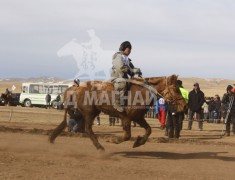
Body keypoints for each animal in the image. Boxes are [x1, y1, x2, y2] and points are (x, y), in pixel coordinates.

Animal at [49, 74, 187, 150]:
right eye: (176, 89)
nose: (185, 106)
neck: (141, 92)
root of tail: (76, 88)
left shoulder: (138, 117)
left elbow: (148, 130)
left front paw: (138, 142)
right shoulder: (126, 118)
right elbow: (127, 136)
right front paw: (113, 139)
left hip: (92, 113)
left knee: (87, 129)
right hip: (89, 113)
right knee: (88, 129)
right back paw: (100, 147)